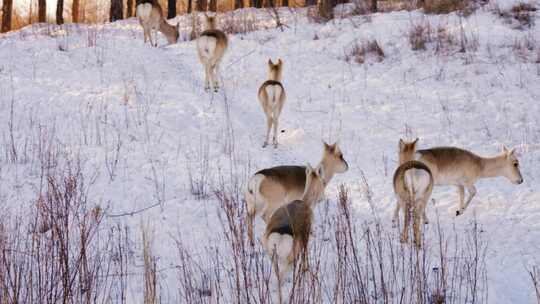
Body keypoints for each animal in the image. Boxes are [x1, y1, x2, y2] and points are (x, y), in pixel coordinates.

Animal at [262, 164, 324, 302]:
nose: (322, 198)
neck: (305, 202)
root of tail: (280, 238)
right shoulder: (306, 241)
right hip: (289, 260)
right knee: (281, 277)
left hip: (272, 257)